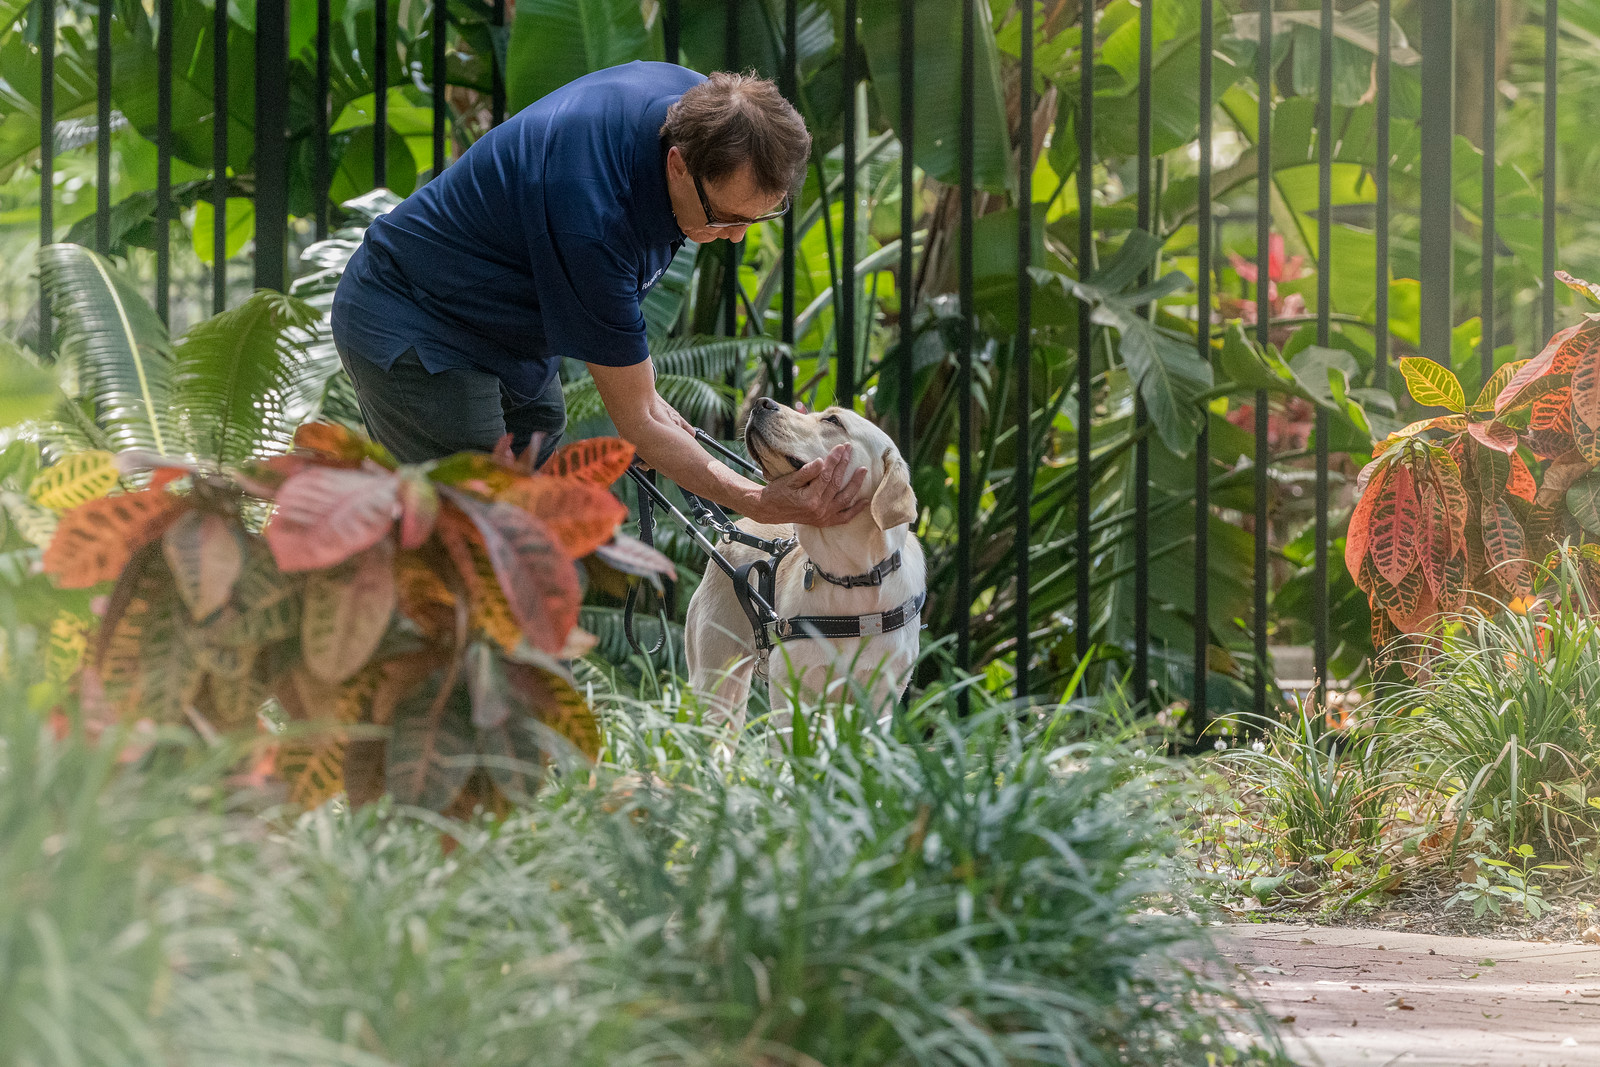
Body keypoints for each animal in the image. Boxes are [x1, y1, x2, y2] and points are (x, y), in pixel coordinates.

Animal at [688, 396, 928, 729]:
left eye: (833, 421)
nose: (762, 402)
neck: (852, 579)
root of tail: (731, 530)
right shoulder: (790, 696)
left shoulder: (880, 701)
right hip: (714, 679)